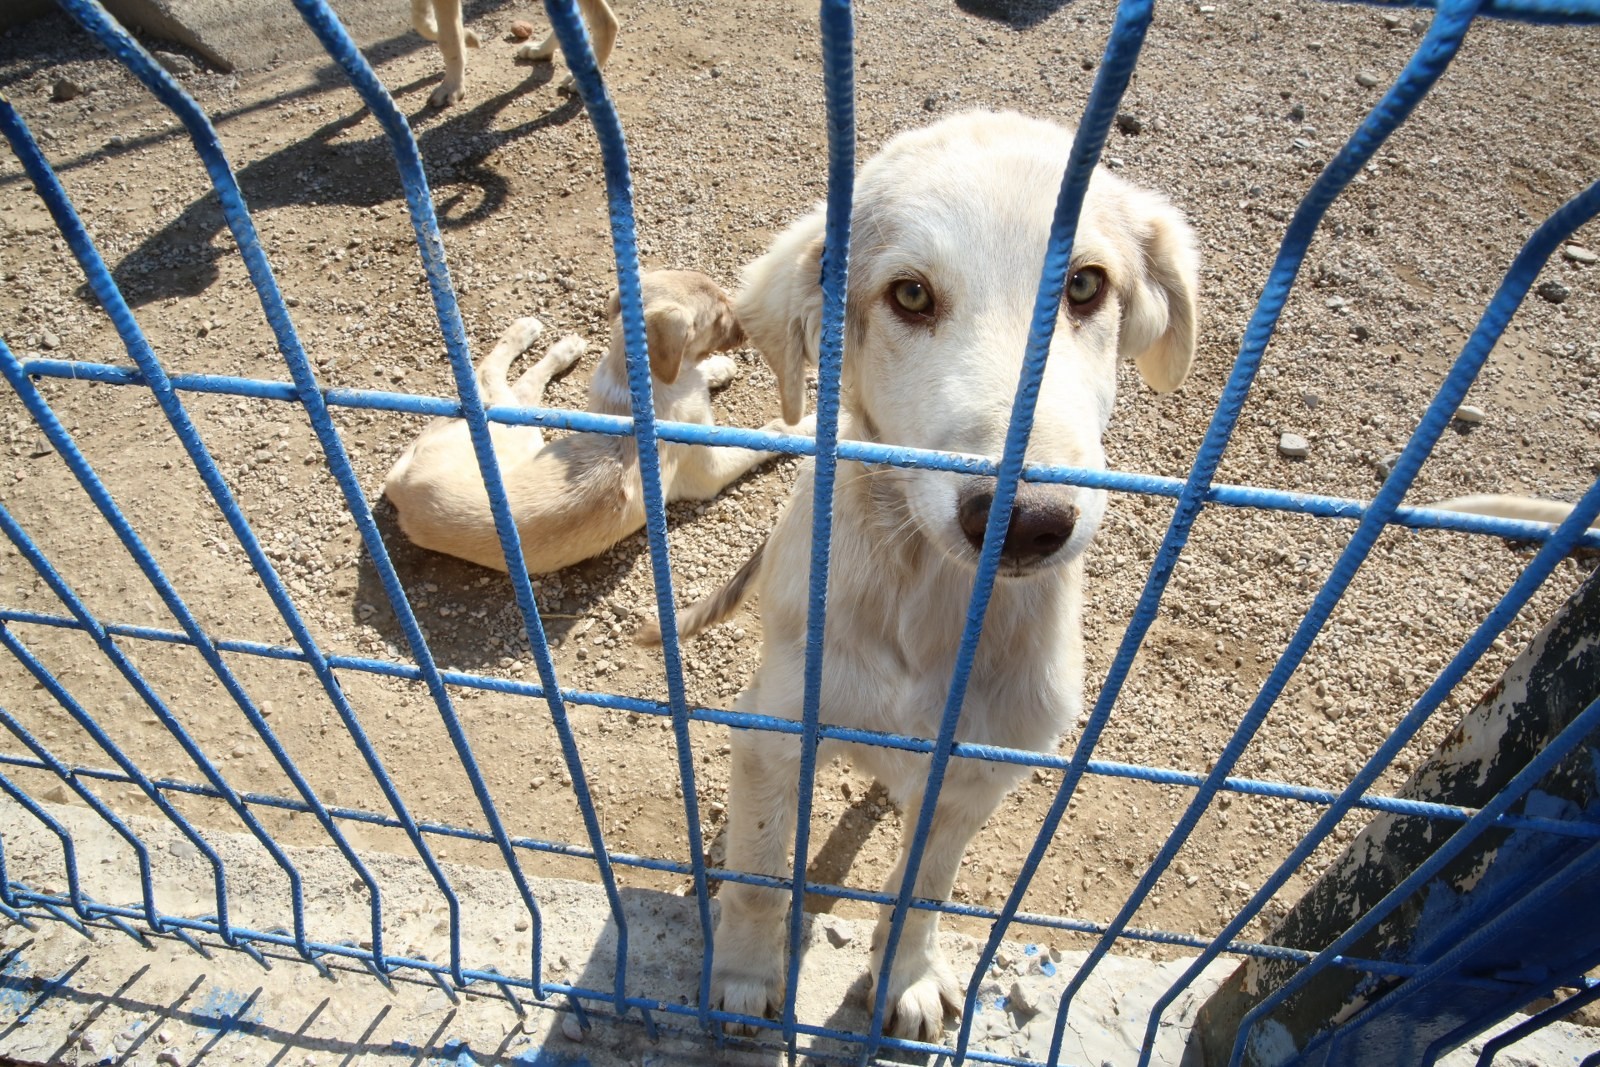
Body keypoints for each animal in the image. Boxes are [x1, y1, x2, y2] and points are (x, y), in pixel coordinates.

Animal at [382, 273, 806, 575]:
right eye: (718, 317)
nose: (747, 326)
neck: (638, 381)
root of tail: (400, 487)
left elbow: (701, 375)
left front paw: (717, 369)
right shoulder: (709, 469)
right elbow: (768, 433)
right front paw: (805, 428)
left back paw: (559, 345)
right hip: (516, 432)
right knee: (493, 376)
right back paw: (531, 335)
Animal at [668, 112, 1196, 1036]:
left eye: (1086, 286)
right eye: (910, 296)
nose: (1026, 520)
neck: (931, 598)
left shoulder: (977, 776)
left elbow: (923, 888)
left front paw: (907, 976)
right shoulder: (773, 731)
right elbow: (762, 874)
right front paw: (741, 978)